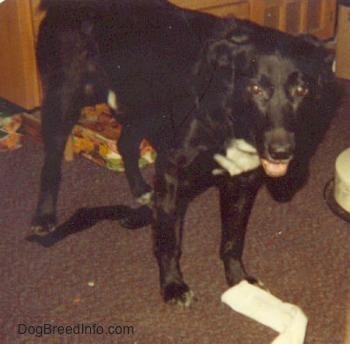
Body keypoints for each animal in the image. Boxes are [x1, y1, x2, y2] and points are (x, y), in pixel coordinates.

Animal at [32, 0, 336, 306]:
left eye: (302, 89)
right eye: (255, 88)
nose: (282, 151)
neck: (228, 111)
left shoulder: (243, 182)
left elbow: (233, 239)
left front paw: (239, 282)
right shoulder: (172, 173)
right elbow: (170, 240)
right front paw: (173, 285)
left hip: (142, 108)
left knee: (125, 143)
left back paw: (141, 190)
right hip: (65, 100)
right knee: (50, 164)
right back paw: (44, 217)